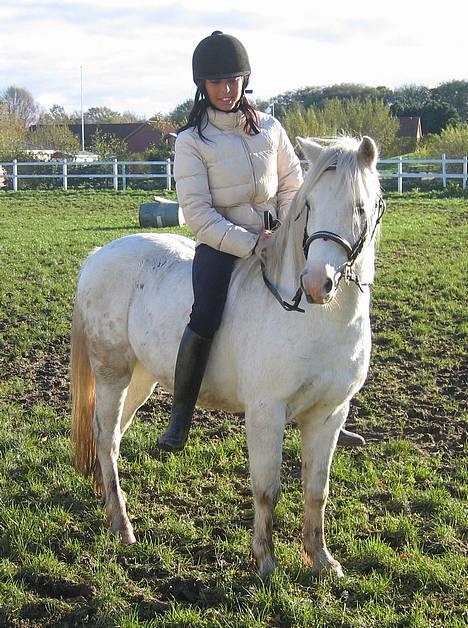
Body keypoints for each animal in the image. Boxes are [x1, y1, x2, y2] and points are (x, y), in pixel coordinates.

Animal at [69, 136, 384, 580]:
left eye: (360, 207)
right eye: (309, 205)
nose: (315, 283)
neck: (317, 319)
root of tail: (99, 255)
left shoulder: (329, 415)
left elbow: (316, 491)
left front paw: (322, 560)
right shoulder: (266, 412)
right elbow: (267, 488)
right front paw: (265, 562)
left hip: (142, 377)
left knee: (109, 435)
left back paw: (107, 499)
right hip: (113, 373)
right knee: (107, 435)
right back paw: (122, 524)